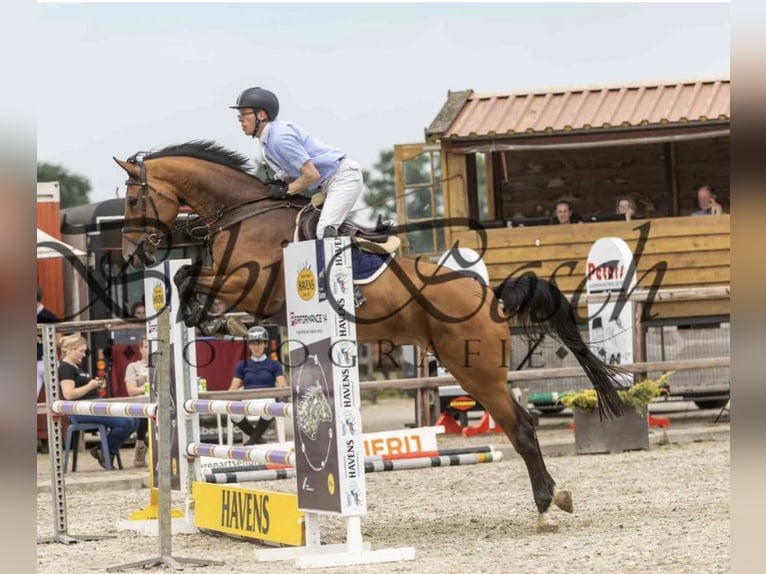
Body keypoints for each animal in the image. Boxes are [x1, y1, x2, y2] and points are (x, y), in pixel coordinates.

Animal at [116, 140, 625, 532]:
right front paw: (214, 321)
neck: (244, 215)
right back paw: (552, 499)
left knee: (521, 427)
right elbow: (191, 281)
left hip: (476, 371)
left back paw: (547, 504)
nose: (133, 253)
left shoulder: (252, 284)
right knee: (522, 424)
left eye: (135, 201)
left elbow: (193, 280)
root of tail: (491, 297)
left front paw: (213, 317)